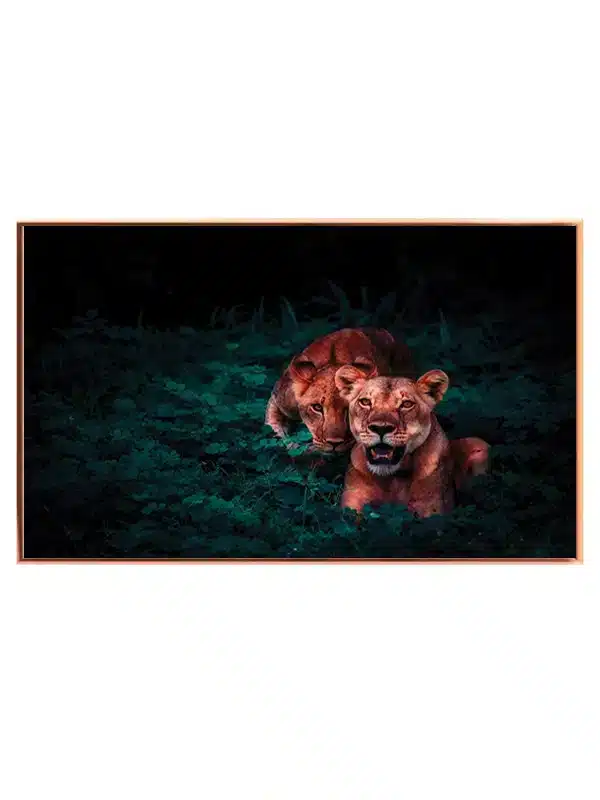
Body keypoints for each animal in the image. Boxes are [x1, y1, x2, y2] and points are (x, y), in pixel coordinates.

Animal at [335, 366, 489, 518]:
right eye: (365, 402)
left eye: (407, 404)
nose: (381, 428)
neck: (392, 478)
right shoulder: (352, 506)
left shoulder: (433, 511)